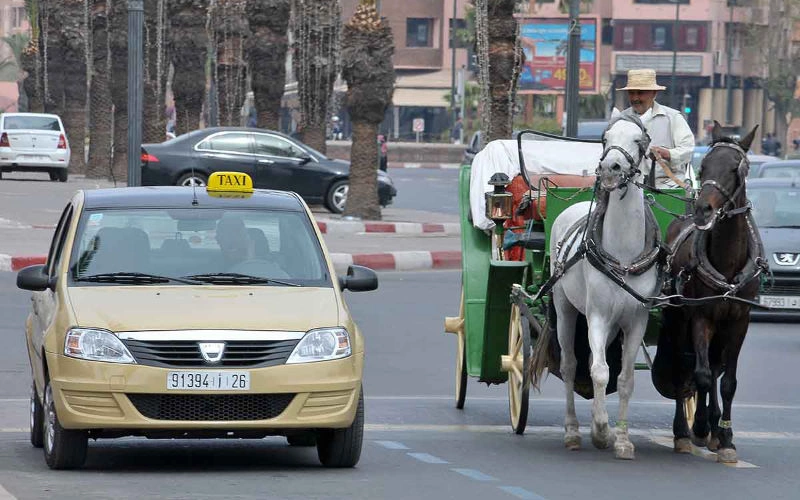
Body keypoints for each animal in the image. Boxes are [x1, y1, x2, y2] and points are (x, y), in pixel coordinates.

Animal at [552, 113, 656, 460]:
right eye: (605, 137)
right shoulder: (596, 316)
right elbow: (599, 371)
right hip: (565, 309)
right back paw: (572, 431)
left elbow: (624, 379)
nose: (611, 167)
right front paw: (599, 430)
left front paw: (621, 439)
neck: (623, 254)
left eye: (638, 140)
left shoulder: (636, 320)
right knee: (571, 365)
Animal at [652, 122, 764, 464]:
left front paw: (725, 437)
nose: (704, 209)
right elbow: (699, 375)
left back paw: (714, 428)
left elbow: (727, 381)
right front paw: (698, 427)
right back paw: (685, 430)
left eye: (736, 169)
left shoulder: (740, 319)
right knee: (683, 367)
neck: (728, 261)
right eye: (702, 167)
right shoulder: (701, 315)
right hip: (678, 319)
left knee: (715, 368)